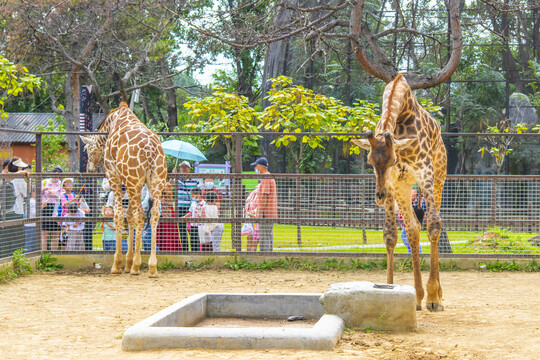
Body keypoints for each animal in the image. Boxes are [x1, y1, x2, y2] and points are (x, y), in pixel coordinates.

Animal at [80, 102, 167, 278]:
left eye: (86, 149)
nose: (88, 168)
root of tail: (150, 150)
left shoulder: (113, 174)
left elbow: (119, 215)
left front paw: (118, 264)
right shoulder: (130, 182)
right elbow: (129, 215)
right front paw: (128, 262)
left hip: (134, 181)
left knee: (140, 215)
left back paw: (137, 266)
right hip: (156, 181)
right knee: (154, 215)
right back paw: (152, 267)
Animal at [350, 72, 448, 310]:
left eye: (393, 159)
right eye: (369, 161)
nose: (378, 196)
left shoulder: (424, 171)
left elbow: (433, 225)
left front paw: (433, 297)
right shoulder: (394, 182)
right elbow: (391, 234)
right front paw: (390, 288)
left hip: (439, 178)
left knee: (434, 224)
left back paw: (436, 296)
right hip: (403, 187)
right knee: (412, 228)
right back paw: (418, 297)